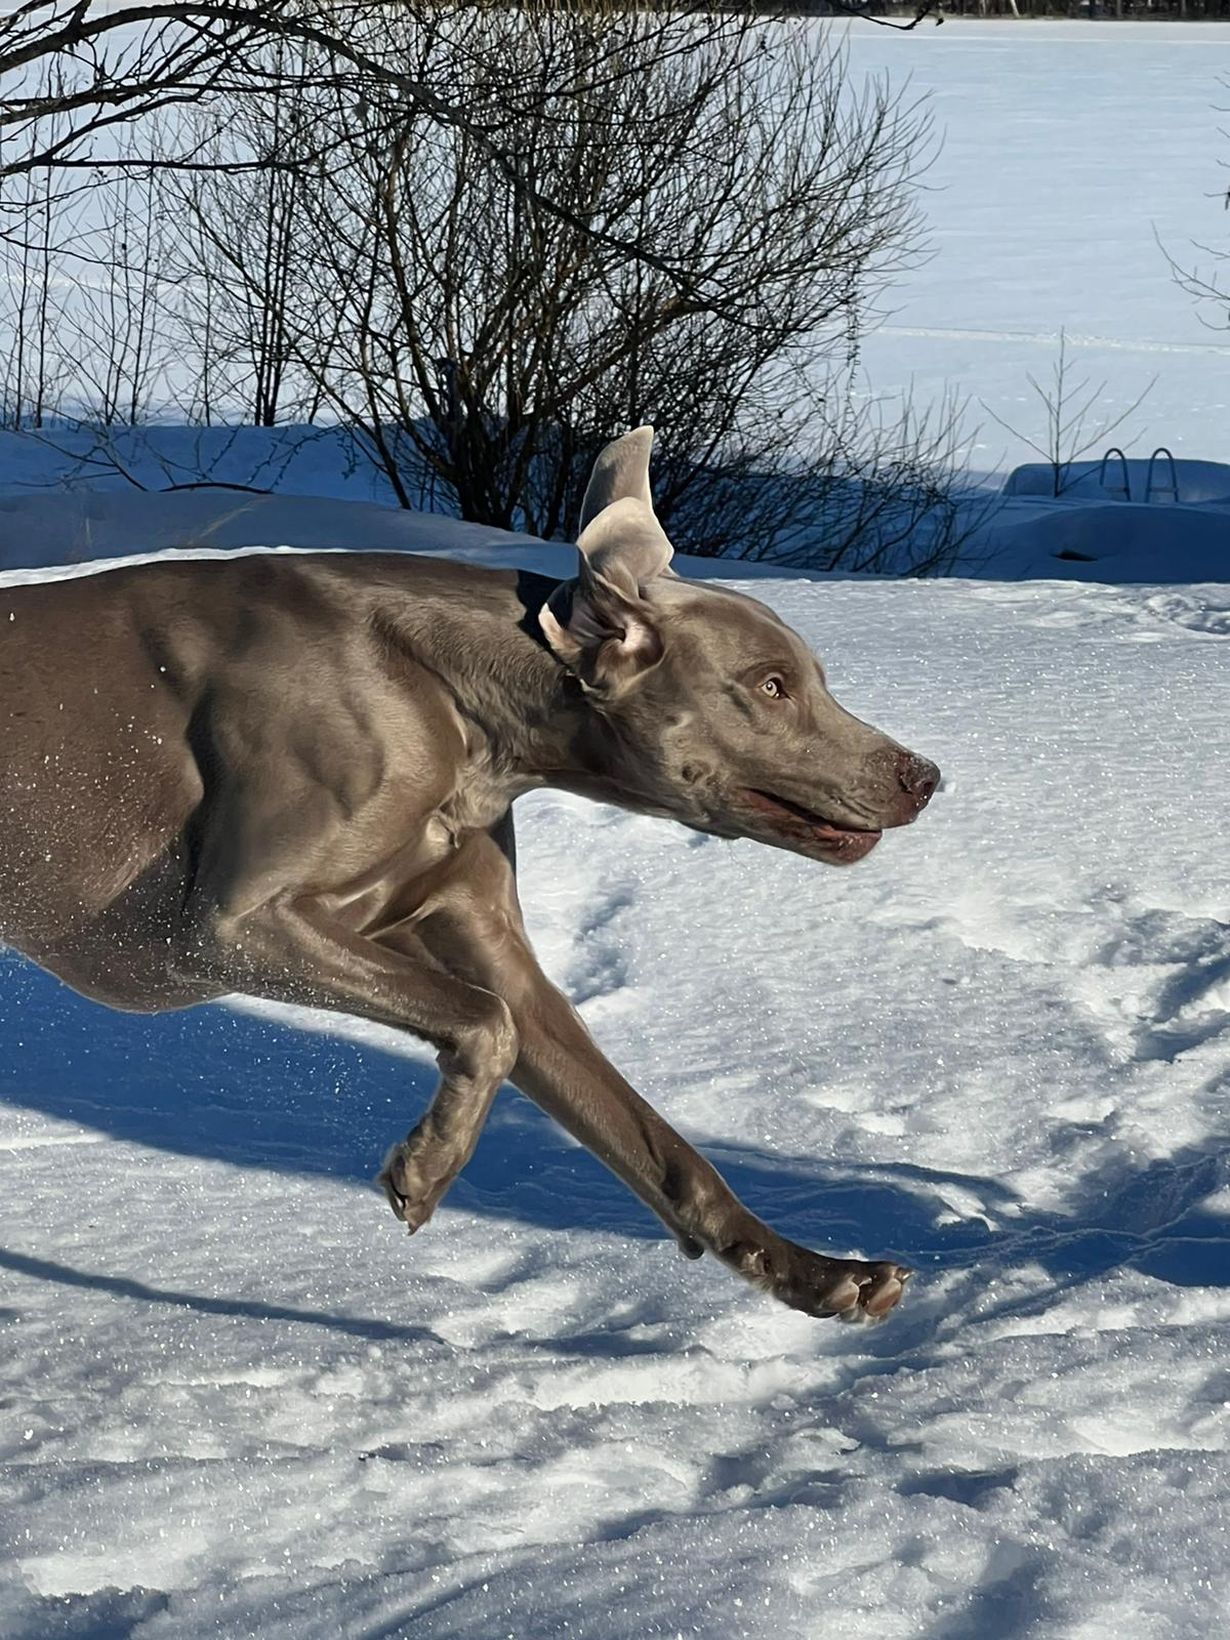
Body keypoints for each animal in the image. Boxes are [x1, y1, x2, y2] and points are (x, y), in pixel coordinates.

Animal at [0, 428, 937, 1321]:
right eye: (771, 685)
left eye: (811, 677)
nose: (925, 775)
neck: (453, 701)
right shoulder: (225, 927)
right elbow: (487, 1023)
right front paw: (428, 1167)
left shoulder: (479, 932)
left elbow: (646, 1134)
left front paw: (816, 1274)